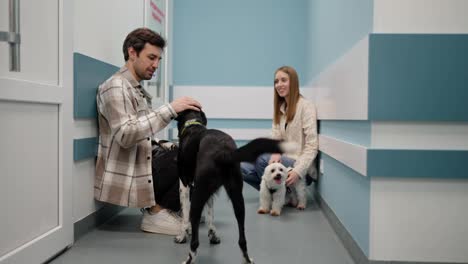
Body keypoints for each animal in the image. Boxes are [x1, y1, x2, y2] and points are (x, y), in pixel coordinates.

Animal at [174, 109, 294, 264]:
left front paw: (182, 236)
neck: (192, 124)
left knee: (195, 240)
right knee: (242, 239)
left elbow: (185, 216)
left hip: (198, 195)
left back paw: (189, 258)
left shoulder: (185, 185)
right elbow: (210, 214)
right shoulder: (209, 192)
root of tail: (224, 152)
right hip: (237, 197)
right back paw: (247, 258)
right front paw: (213, 234)